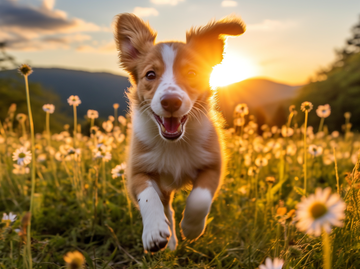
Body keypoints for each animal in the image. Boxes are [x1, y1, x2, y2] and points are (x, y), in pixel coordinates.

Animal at [114, 13, 246, 251]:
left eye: (192, 73)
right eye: (150, 75)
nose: (171, 101)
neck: (174, 144)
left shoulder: (214, 164)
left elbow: (200, 199)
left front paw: (191, 228)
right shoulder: (137, 171)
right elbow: (149, 197)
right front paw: (155, 232)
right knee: (166, 207)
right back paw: (170, 240)